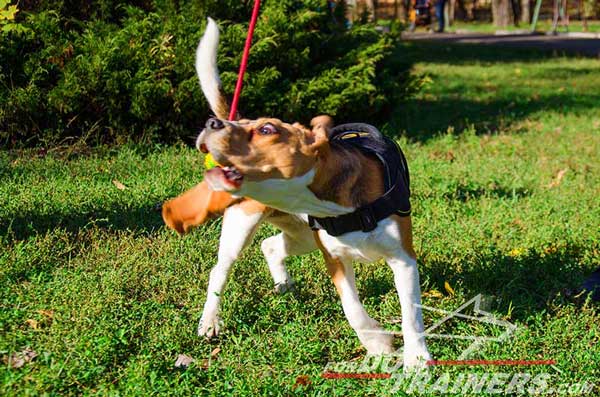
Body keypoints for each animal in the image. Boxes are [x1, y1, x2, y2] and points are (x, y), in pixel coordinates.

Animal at [162, 17, 428, 366]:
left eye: (266, 129)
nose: (212, 124)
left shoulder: (403, 258)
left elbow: (411, 314)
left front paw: (417, 360)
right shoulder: (334, 258)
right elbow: (353, 310)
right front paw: (379, 344)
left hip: (302, 235)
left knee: (270, 246)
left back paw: (283, 285)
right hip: (242, 226)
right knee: (219, 271)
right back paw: (210, 322)